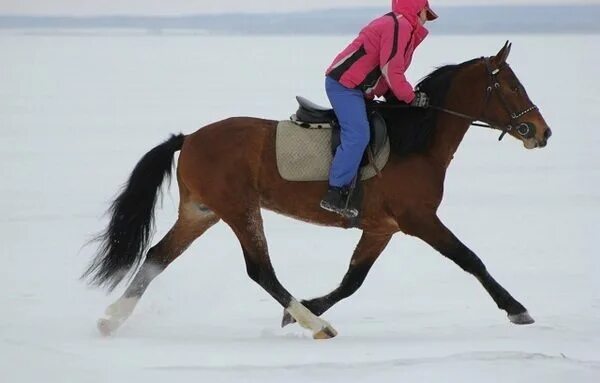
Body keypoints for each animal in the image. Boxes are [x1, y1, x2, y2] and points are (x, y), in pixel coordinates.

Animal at [84, 42, 552, 342]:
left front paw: (303, 311)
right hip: (239, 209)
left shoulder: (382, 228)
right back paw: (317, 326)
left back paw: (110, 321)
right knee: (260, 270)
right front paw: (518, 309)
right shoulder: (418, 219)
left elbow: (352, 281)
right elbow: (470, 259)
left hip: (201, 212)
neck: (415, 140)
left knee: (156, 257)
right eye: (511, 86)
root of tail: (190, 138)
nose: (541, 132)